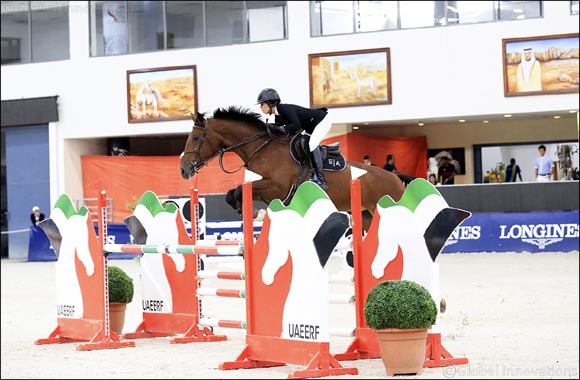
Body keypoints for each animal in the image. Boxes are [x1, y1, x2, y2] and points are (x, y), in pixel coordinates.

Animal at [179, 104, 406, 232]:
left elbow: (237, 190)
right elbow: (232, 192)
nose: (183, 170)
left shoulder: (275, 187)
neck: (262, 148)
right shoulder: (265, 189)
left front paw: (253, 213)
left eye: (196, 138)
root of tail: (397, 179)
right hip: (367, 215)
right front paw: (247, 211)